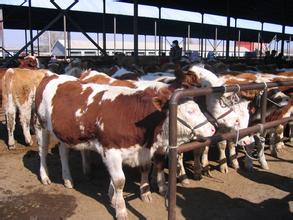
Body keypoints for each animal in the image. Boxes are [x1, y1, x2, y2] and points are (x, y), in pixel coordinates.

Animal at [34, 73, 214, 219]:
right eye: (190, 111)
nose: (212, 129)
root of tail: (51, 75)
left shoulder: (142, 150)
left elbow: (144, 168)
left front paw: (125, 195)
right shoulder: (111, 150)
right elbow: (120, 180)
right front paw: (120, 210)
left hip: (64, 133)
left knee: (63, 152)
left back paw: (67, 179)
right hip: (40, 125)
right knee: (42, 151)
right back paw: (45, 177)